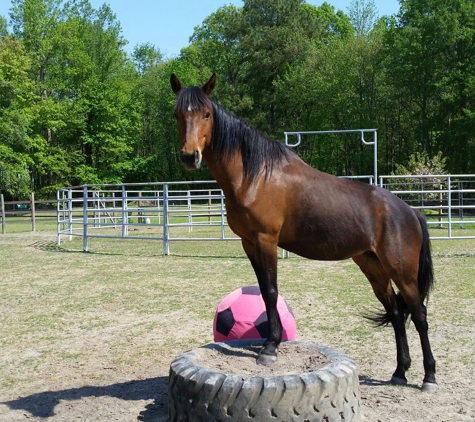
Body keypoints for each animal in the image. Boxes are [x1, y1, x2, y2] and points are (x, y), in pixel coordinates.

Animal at [171, 72, 438, 392]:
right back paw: (399, 372)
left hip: (402, 271)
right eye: (177, 114)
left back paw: (429, 377)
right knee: (397, 312)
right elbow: (263, 290)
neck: (255, 175)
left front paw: (270, 348)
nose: (190, 157)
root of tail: (410, 211)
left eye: (206, 114)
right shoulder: (248, 243)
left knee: (419, 315)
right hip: (374, 267)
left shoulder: (266, 240)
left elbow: (271, 291)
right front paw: (268, 341)